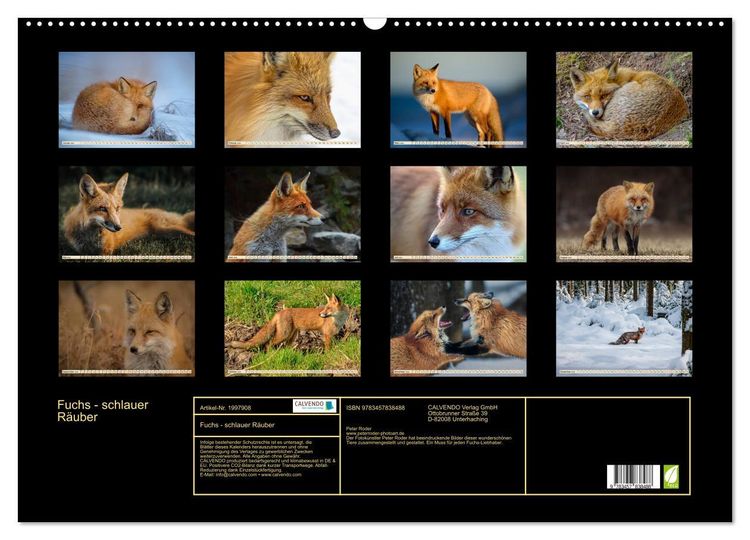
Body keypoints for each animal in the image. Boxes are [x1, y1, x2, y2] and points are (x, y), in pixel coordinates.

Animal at [63, 173, 195, 256]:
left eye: (117, 208)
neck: (90, 237)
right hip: (164, 233)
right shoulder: (79, 250)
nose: (119, 227)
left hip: (167, 229)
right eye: (102, 208)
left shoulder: (106, 251)